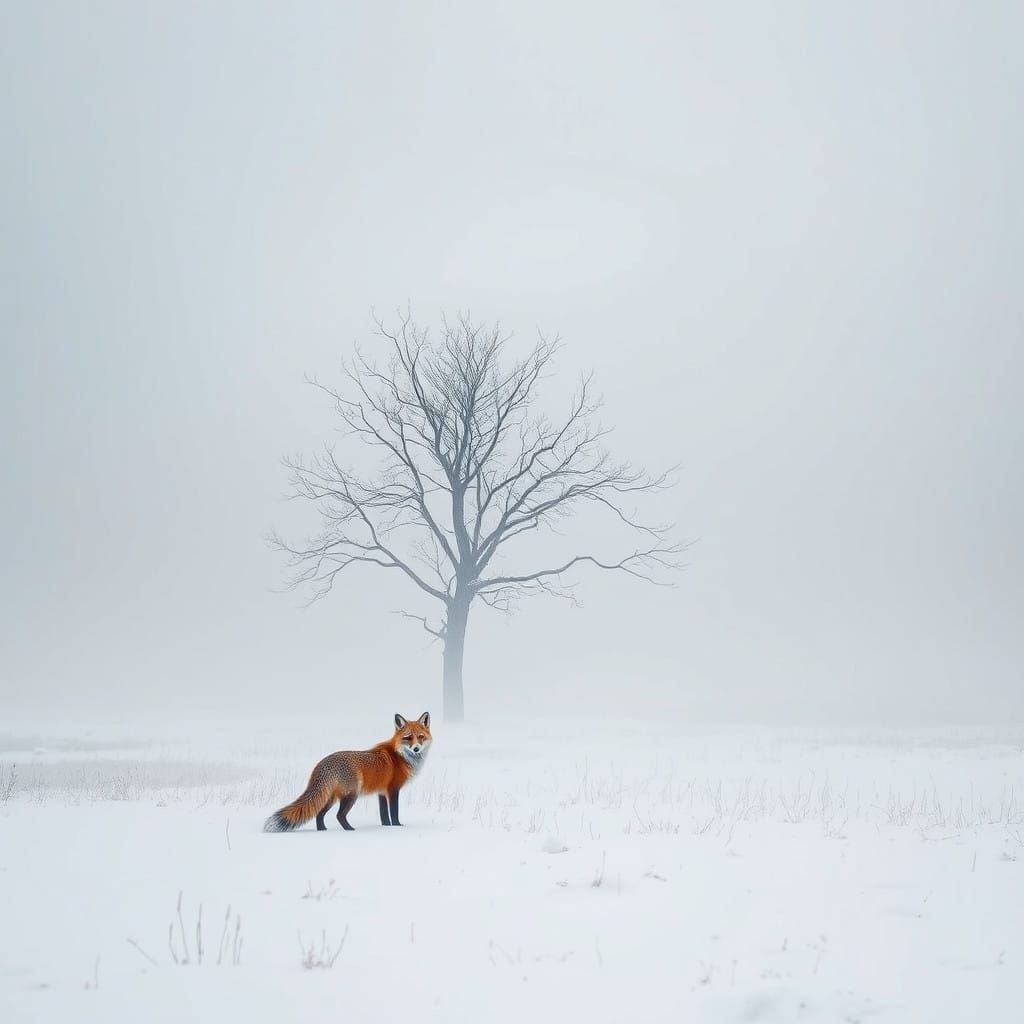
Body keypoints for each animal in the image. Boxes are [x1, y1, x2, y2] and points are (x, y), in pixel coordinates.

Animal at [263, 713, 432, 833]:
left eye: (420, 737)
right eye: (408, 738)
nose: (416, 749)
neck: (400, 755)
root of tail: (323, 763)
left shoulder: (381, 792)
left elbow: (384, 815)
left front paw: (386, 827)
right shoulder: (392, 790)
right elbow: (394, 813)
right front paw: (397, 827)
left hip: (330, 797)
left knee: (319, 814)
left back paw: (322, 830)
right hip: (351, 795)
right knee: (339, 815)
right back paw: (349, 830)